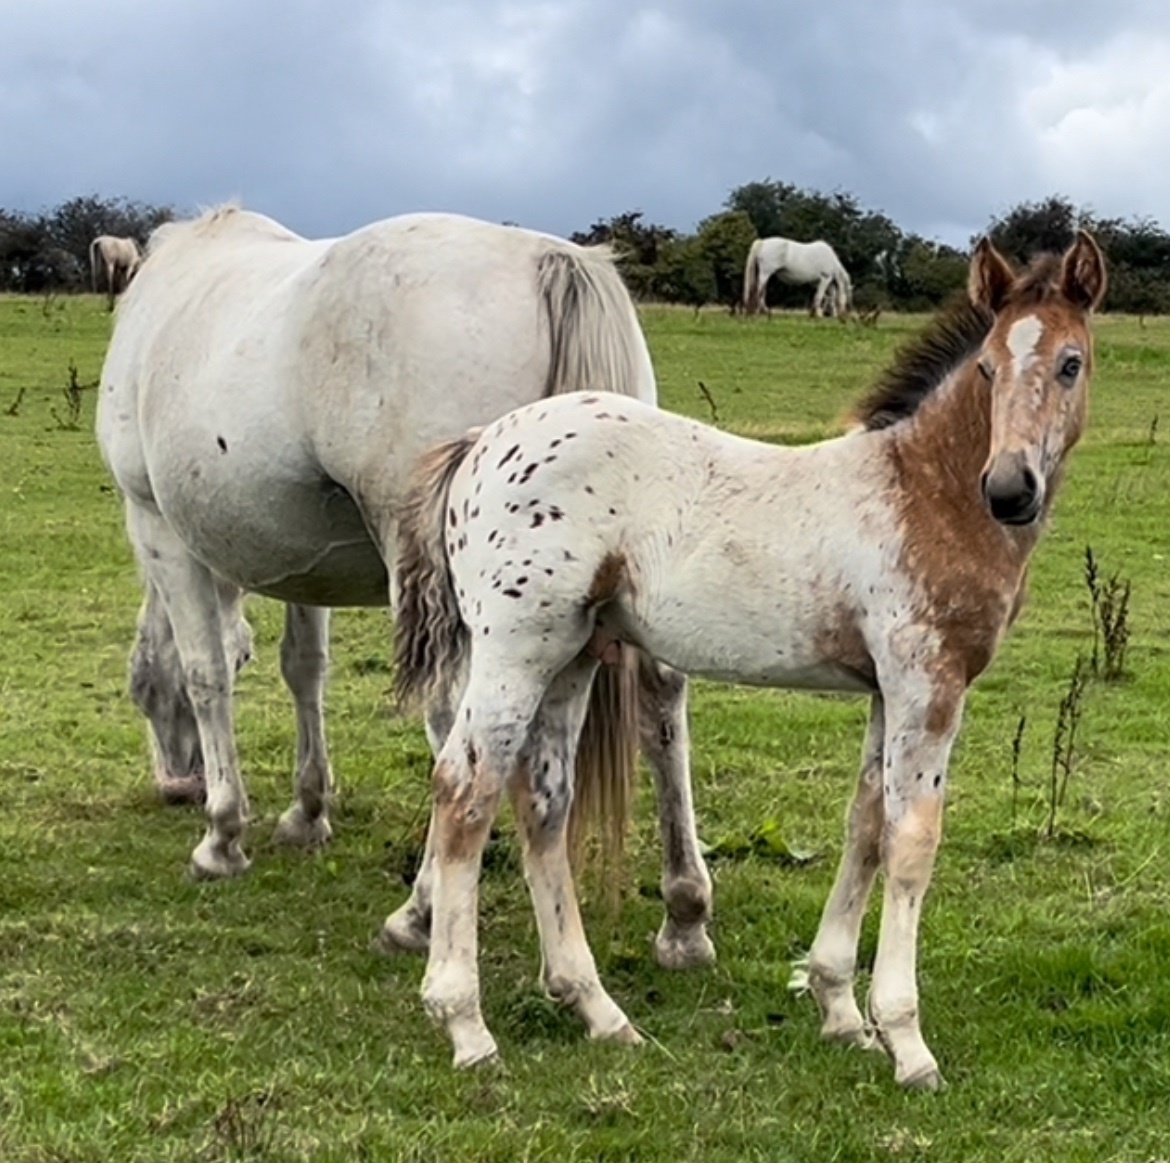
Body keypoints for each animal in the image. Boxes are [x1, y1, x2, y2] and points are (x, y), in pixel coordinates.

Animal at [95, 205, 716, 972]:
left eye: (140, 694)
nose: (176, 784)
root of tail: (549, 260)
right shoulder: (303, 564)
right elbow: (305, 670)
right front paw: (306, 811)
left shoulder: (158, 528)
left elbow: (205, 672)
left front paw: (222, 835)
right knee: (660, 700)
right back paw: (684, 913)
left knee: (456, 728)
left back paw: (419, 912)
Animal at [394, 232, 1106, 1083]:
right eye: (990, 368)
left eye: (1070, 362)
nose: (1008, 489)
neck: (924, 492)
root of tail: (481, 444)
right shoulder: (928, 682)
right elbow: (912, 841)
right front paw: (906, 1039)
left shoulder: (885, 690)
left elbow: (865, 823)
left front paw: (839, 1008)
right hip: (514, 651)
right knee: (465, 792)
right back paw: (465, 1023)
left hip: (571, 656)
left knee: (542, 801)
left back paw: (597, 1009)